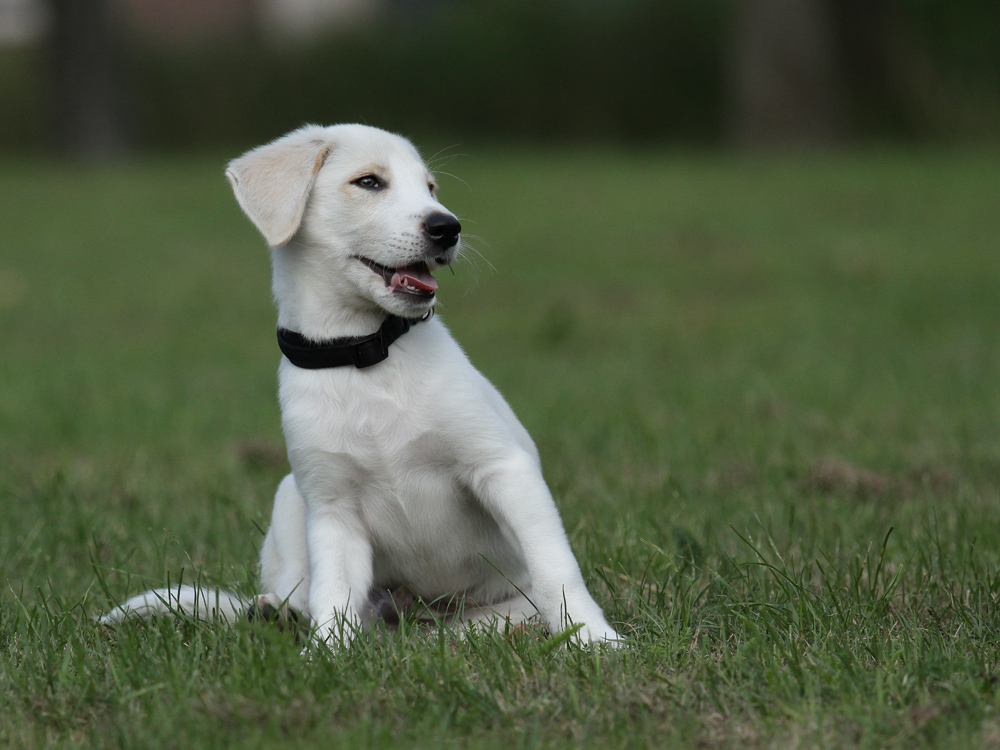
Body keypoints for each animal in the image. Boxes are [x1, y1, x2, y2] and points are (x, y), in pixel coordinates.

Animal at [101, 126, 616, 648]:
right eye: (369, 182)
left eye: (430, 187)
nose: (448, 227)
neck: (362, 355)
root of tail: (417, 616)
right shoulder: (332, 509)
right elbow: (333, 598)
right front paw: (325, 656)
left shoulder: (502, 468)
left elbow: (556, 569)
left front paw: (595, 639)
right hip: (291, 497)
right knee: (306, 595)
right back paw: (277, 614)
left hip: (487, 608)